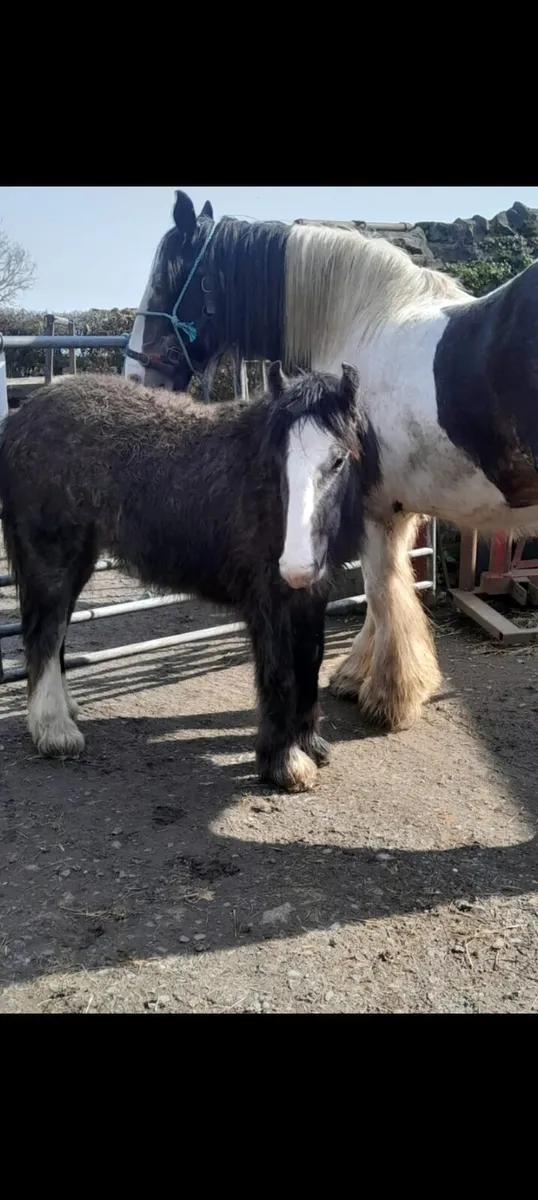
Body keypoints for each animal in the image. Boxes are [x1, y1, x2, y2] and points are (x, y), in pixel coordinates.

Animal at [0, 362, 380, 793]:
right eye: (278, 461)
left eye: (338, 462)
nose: (295, 567)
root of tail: (21, 418)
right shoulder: (268, 600)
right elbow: (279, 674)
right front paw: (284, 764)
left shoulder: (312, 595)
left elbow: (309, 662)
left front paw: (310, 744)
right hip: (51, 558)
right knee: (44, 634)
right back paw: (54, 731)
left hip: (79, 559)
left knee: (58, 630)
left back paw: (65, 709)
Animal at [124, 189, 538, 732]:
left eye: (162, 281)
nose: (134, 375)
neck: (364, 324)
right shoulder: (391, 509)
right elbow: (384, 593)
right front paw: (363, 676)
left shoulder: (373, 507)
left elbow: (381, 591)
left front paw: (389, 696)